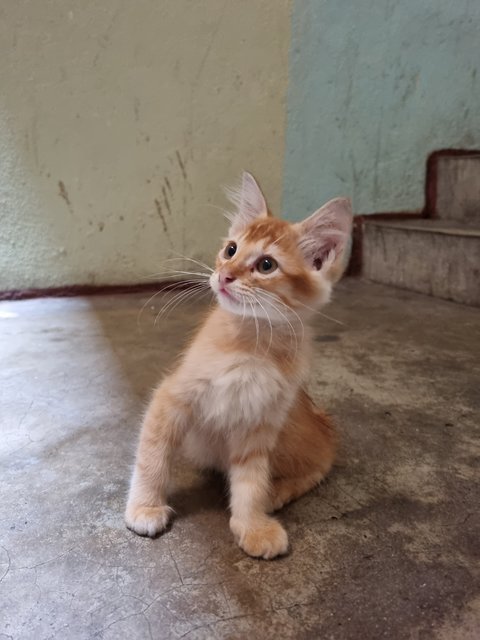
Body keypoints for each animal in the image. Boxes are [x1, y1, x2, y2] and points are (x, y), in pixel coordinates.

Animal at [125, 172, 352, 556]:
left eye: (266, 265)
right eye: (230, 250)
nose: (225, 275)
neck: (249, 344)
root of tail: (327, 426)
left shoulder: (261, 423)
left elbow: (251, 481)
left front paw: (252, 524)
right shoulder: (172, 397)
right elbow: (152, 456)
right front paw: (146, 506)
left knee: (318, 467)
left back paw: (278, 492)